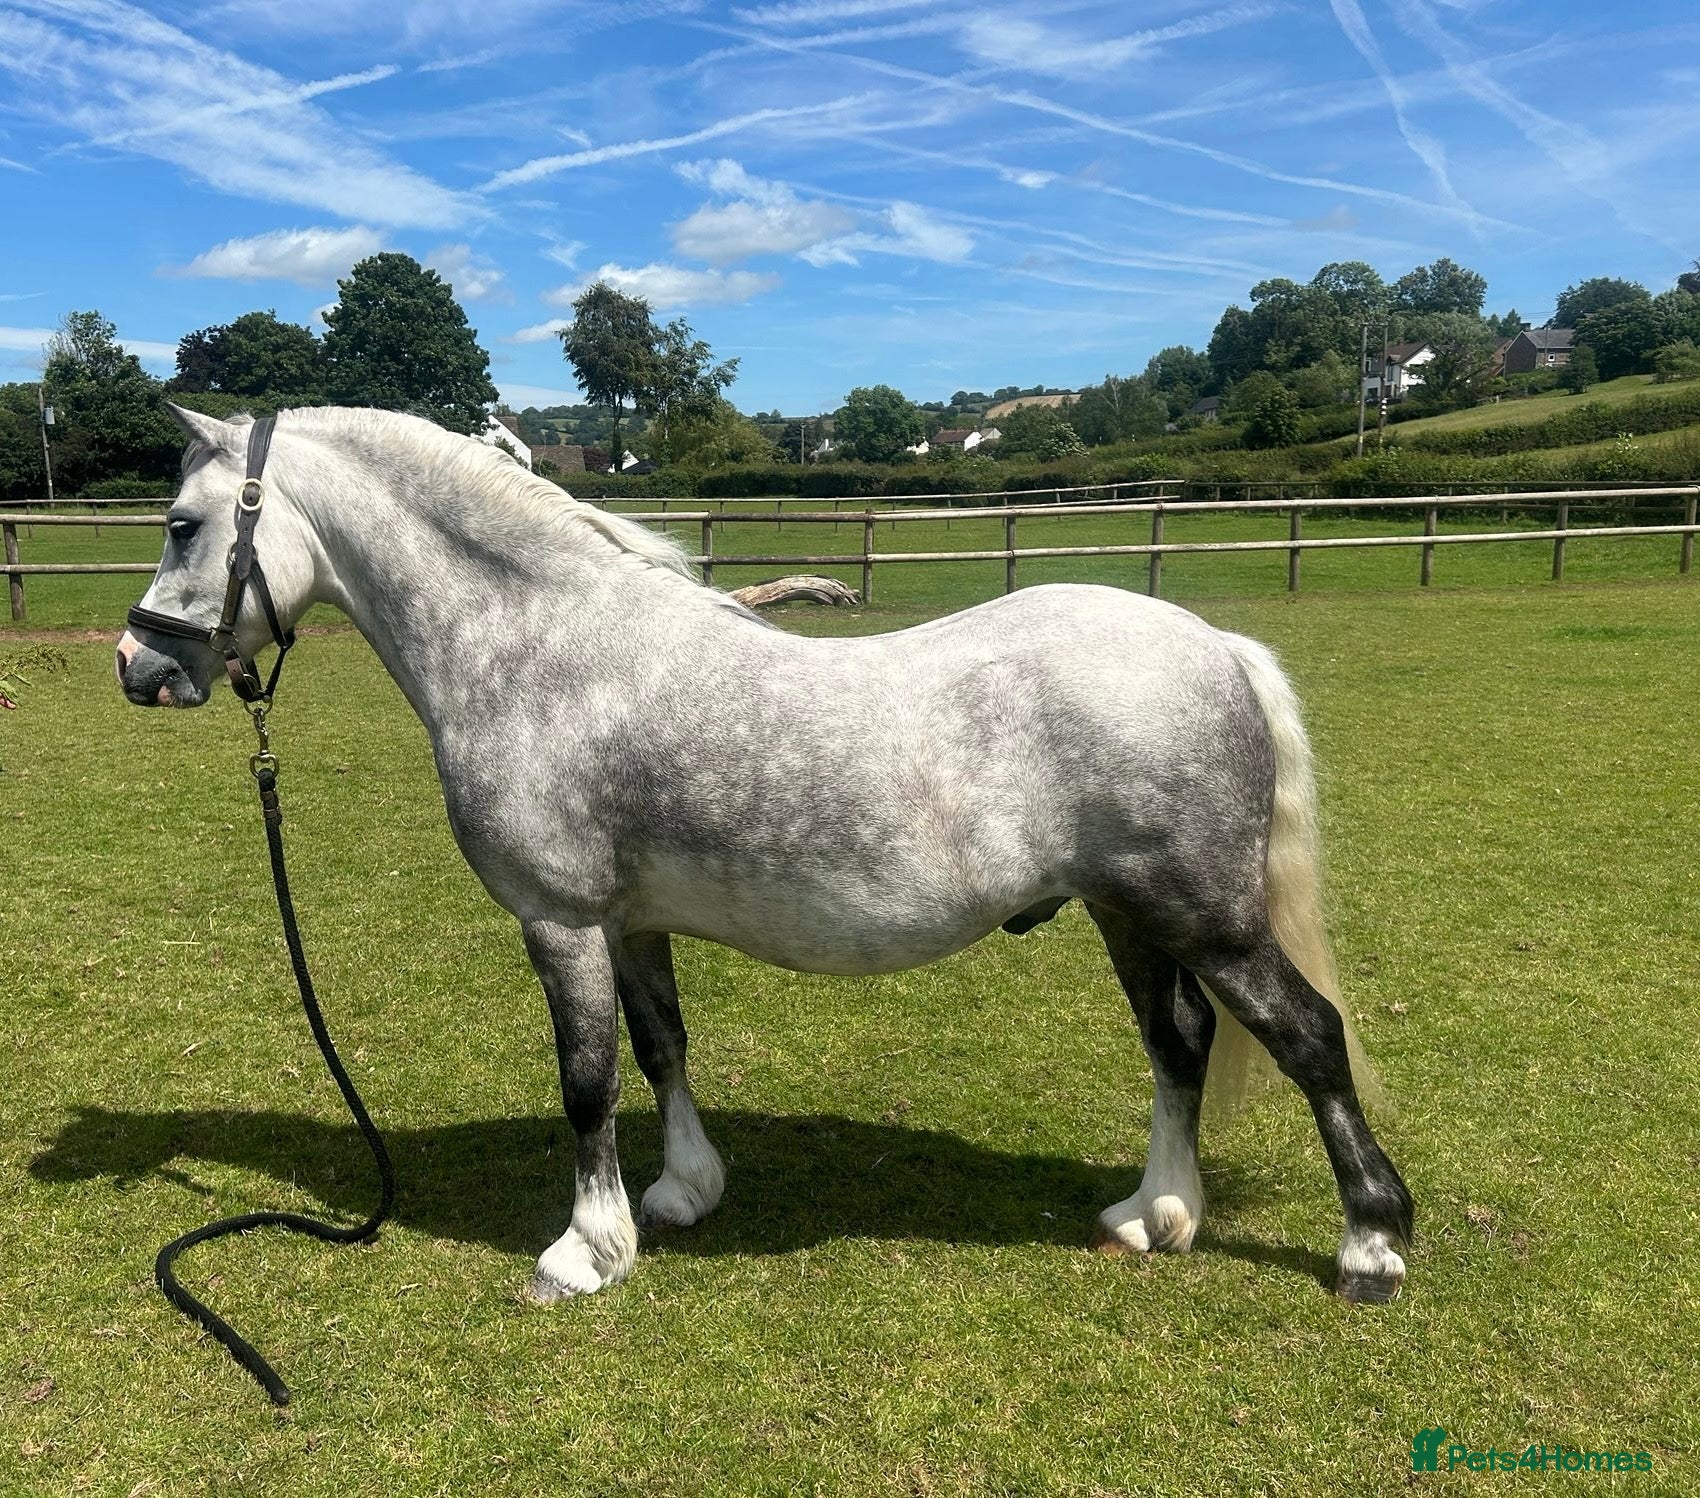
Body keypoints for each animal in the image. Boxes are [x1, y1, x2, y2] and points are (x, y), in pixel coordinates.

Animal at [116, 404, 1413, 1305]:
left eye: (183, 525)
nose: (139, 666)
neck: (542, 648)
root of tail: (1213, 643)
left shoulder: (559, 920)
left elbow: (585, 1081)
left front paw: (583, 1251)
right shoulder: (628, 921)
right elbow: (658, 1049)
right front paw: (681, 1191)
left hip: (1205, 918)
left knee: (1307, 1039)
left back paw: (1370, 1245)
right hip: (1127, 915)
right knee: (1178, 1043)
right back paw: (1156, 1214)